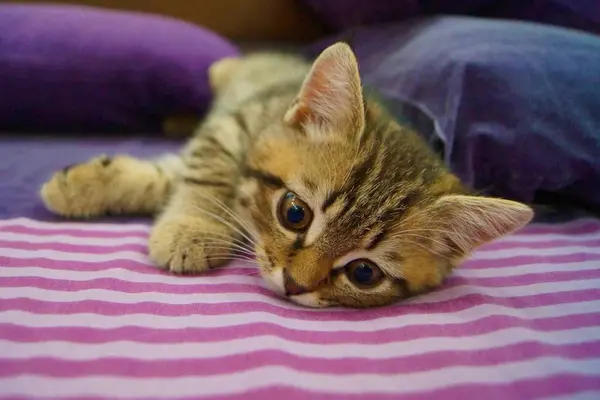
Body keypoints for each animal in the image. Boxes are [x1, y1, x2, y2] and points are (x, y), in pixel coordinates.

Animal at [41, 42, 536, 308]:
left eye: (363, 273)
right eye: (294, 213)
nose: (294, 284)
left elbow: (170, 176)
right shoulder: (233, 126)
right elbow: (204, 173)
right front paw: (191, 226)